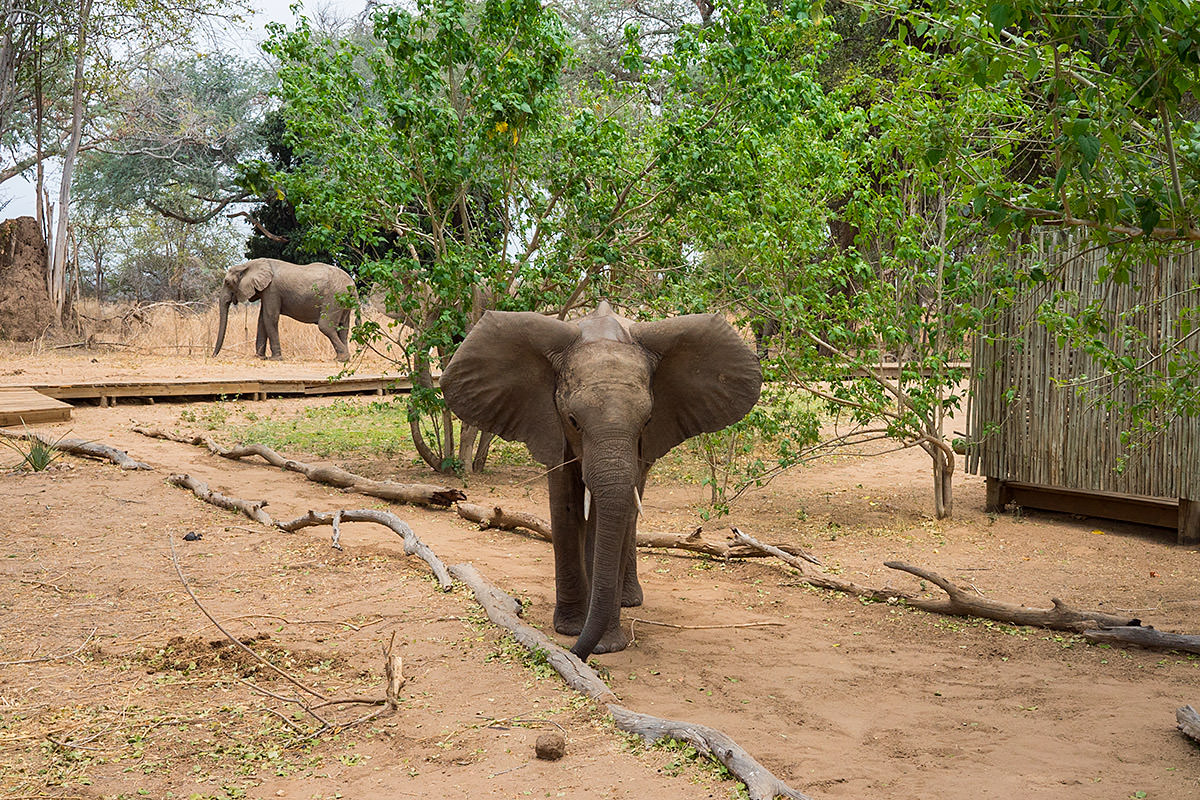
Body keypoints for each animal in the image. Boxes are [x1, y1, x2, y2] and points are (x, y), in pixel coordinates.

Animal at [212, 257, 355, 362]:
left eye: (228, 283)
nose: (212, 356)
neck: (248, 264)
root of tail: (352, 284)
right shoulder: (266, 291)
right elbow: (262, 319)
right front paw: (260, 357)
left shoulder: (272, 289)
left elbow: (270, 318)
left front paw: (275, 359)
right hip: (344, 301)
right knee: (343, 328)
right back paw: (343, 358)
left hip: (334, 298)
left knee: (325, 326)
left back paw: (341, 359)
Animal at [441, 299, 758, 657]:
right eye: (573, 420)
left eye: (647, 421)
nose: (578, 652)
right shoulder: (551, 427)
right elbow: (565, 506)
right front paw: (569, 629)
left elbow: (612, 516)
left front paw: (605, 644)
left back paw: (629, 601)